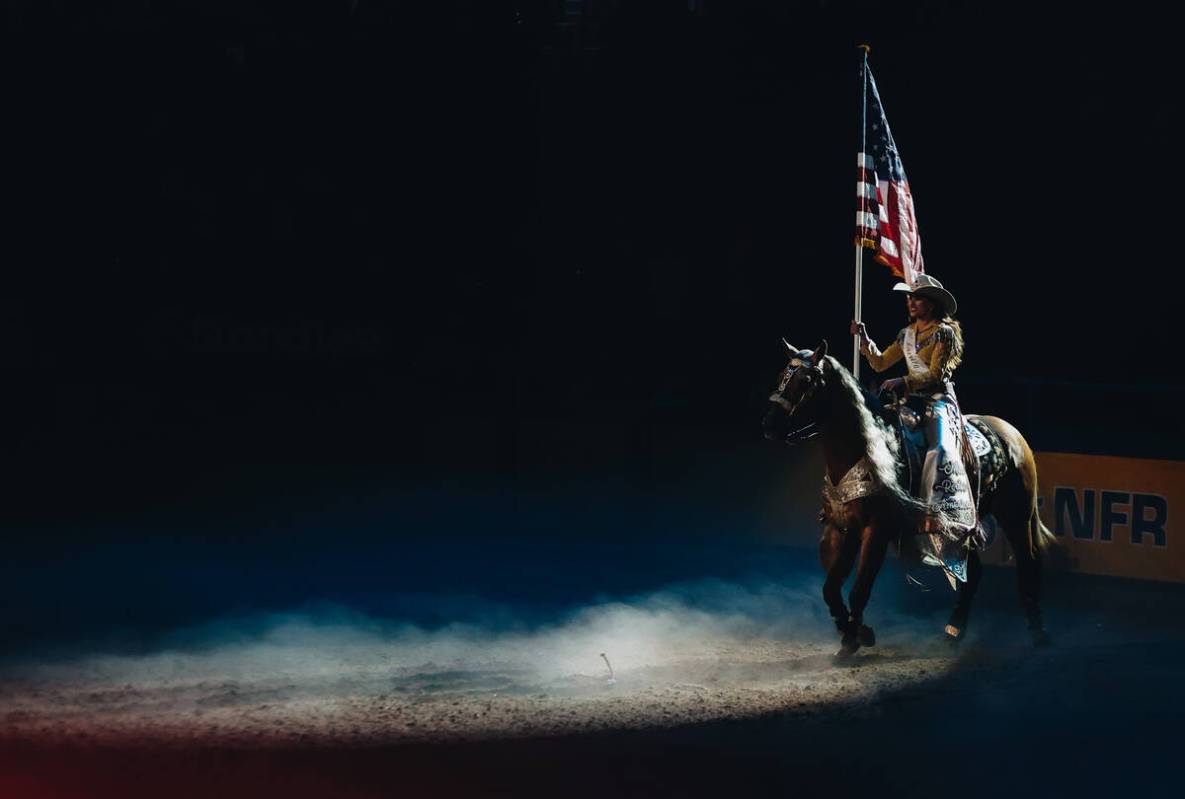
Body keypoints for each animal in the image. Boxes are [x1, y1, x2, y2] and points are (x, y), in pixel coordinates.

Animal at [763, 336, 1061, 654]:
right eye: (781, 376)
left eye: (806, 381)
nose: (768, 425)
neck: (867, 448)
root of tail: (1010, 432)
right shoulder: (844, 527)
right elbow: (831, 588)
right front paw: (852, 631)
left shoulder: (876, 530)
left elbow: (860, 587)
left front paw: (856, 636)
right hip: (964, 525)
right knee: (973, 572)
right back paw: (954, 630)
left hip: (1017, 515)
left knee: (1028, 562)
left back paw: (1038, 632)